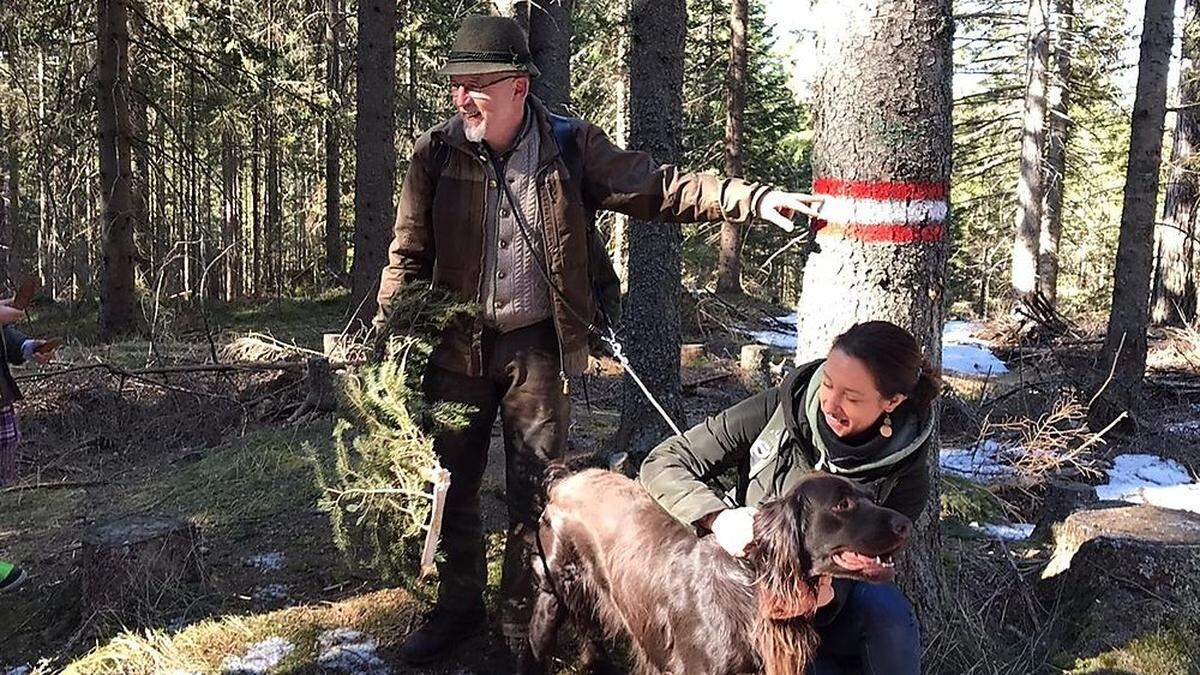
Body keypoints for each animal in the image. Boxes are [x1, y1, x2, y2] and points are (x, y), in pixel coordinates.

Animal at [525, 468, 907, 672]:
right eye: (842, 504)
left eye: (871, 496)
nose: (905, 524)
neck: (751, 581)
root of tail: (564, 481)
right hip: (552, 590)